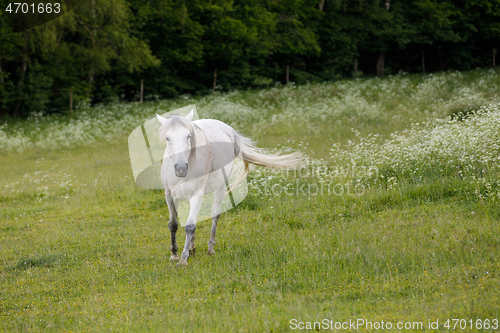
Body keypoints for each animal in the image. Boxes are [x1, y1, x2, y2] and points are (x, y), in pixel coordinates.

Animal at [156, 110, 300, 266]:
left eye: (188, 136)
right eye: (167, 138)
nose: (181, 168)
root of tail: (228, 129)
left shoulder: (197, 194)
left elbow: (190, 226)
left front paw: (183, 259)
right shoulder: (169, 195)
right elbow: (173, 224)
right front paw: (174, 254)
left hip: (220, 187)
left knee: (215, 214)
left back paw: (210, 249)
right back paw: (192, 247)